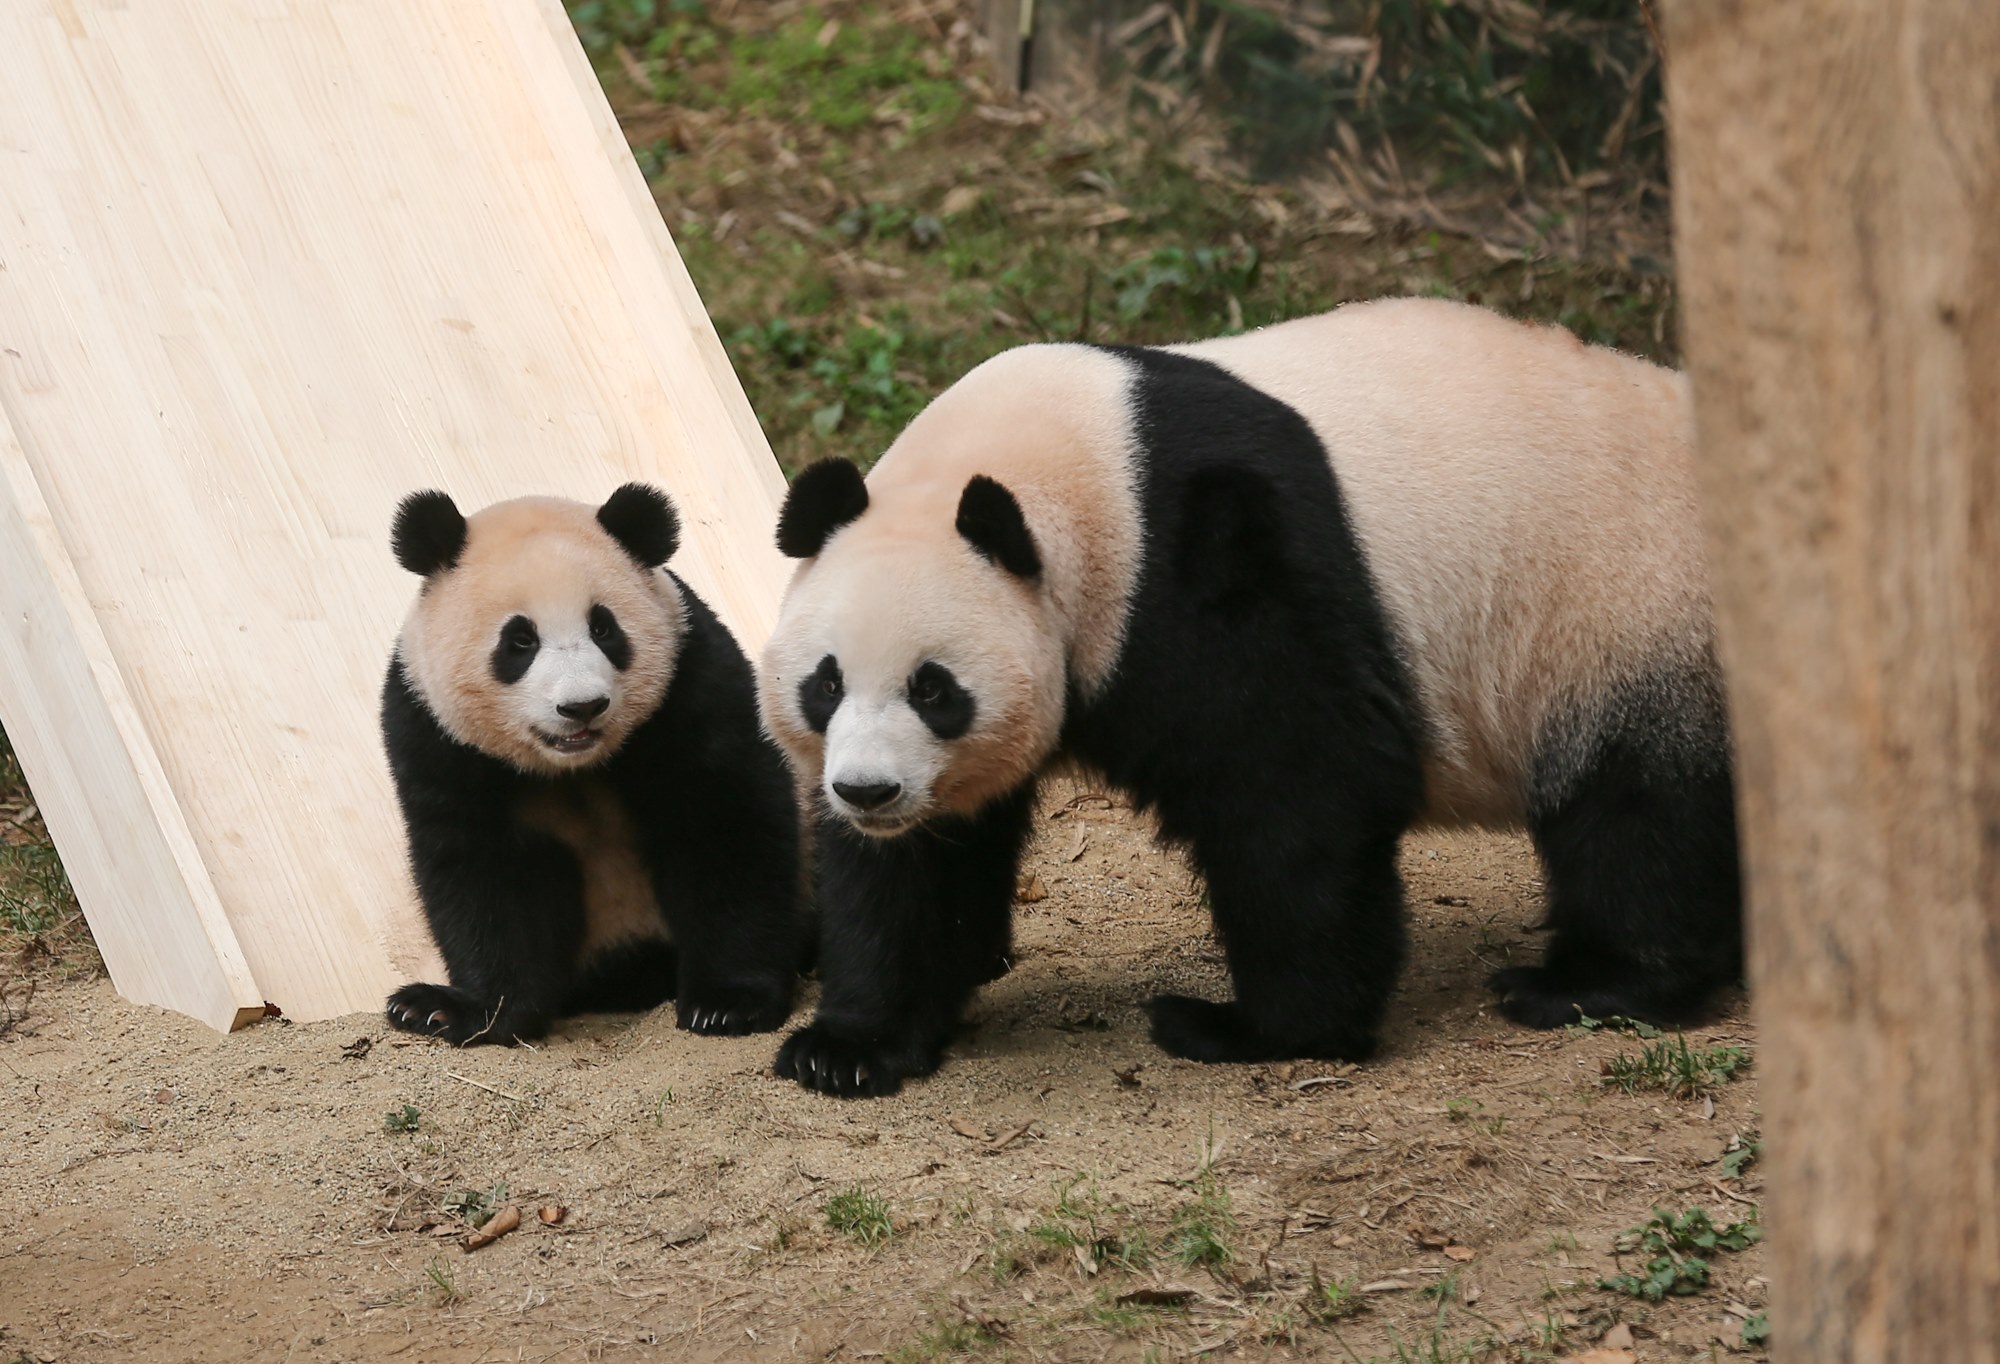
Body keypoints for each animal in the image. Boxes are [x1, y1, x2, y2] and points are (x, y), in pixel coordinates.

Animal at [382, 484, 804, 1048]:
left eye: (604, 628)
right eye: (520, 640)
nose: (581, 706)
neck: (574, 765)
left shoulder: (692, 684)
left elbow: (726, 829)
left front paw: (728, 1003)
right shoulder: (438, 738)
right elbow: (484, 874)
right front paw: (460, 1012)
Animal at [756, 294, 1744, 1096]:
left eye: (934, 690)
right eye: (826, 683)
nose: (867, 791)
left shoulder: (1212, 559)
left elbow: (1295, 790)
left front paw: (1256, 1027)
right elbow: (921, 868)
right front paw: (850, 1046)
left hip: (1624, 615)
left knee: (1638, 818)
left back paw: (1586, 984)